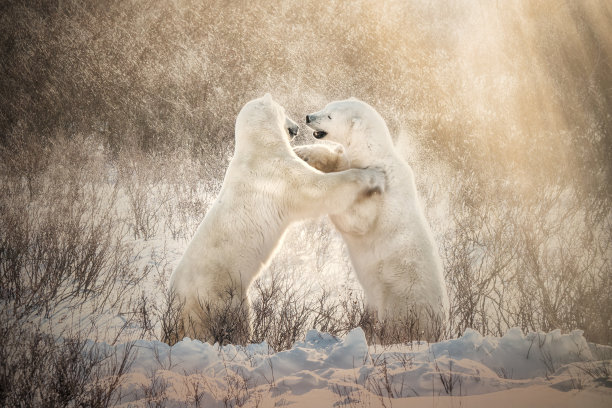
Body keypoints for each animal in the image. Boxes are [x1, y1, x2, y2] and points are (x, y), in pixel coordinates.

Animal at [170, 93, 384, 344]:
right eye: (284, 111)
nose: (297, 127)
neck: (258, 146)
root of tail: (177, 304)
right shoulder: (277, 174)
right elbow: (316, 189)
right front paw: (373, 176)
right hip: (218, 295)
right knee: (233, 321)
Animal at [296, 98, 450, 338]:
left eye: (330, 116)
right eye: (327, 107)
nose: (308, 117)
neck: (373, 155)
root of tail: (440, 326)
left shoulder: (384, 196)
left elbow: (359, 220)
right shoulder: (350, 160)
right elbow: (337, 159)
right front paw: (301, 151)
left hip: (403, 298)